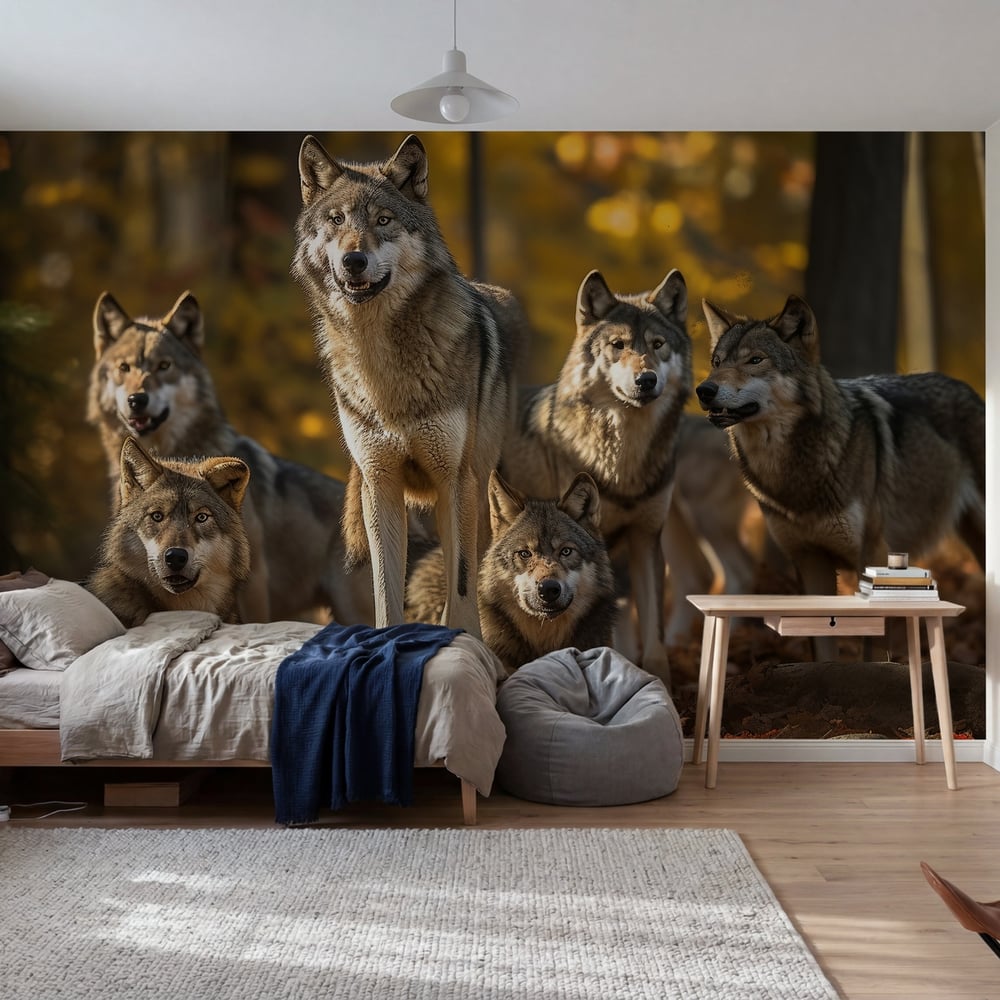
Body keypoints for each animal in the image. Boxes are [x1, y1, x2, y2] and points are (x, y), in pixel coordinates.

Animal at [292, 133, 526, 637]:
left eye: (384, 220)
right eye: (337, 221)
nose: (353, 259)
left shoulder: (456, 481)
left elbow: (462, 588)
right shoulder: (380, 483)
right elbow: (385, 589)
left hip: (478, 491)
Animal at [498, 269, 691, 683]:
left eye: (658, 344)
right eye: (618, 345)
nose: (646, 379)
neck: (622, 463)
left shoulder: (646, 538)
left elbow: (652, 633)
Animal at [695, 294, 986, 615]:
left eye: (755, 360)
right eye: (717, 362)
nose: (703, 390)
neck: (792, 473)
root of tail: (967, 388)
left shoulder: (873, 554)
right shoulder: (809, 561)